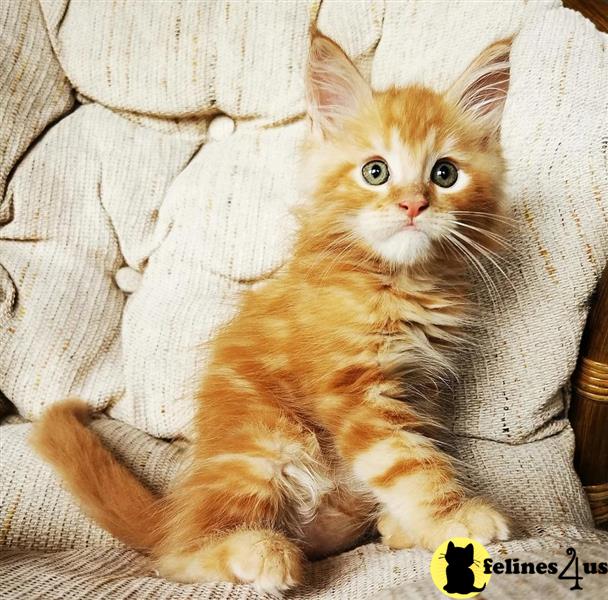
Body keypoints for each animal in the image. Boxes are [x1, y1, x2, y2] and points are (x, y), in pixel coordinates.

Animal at [30, 34, 510, 596]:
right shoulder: (353, 388)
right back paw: (259, 551)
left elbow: (419, 449)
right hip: (265, 441)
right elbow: (407, 462)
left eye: (444, 174)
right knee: (177, 558)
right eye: (376, 172)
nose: (413, 205)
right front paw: (454, 517)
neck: (398, 281)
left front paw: (421, 522)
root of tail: (175, 514)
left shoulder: (421, 387)